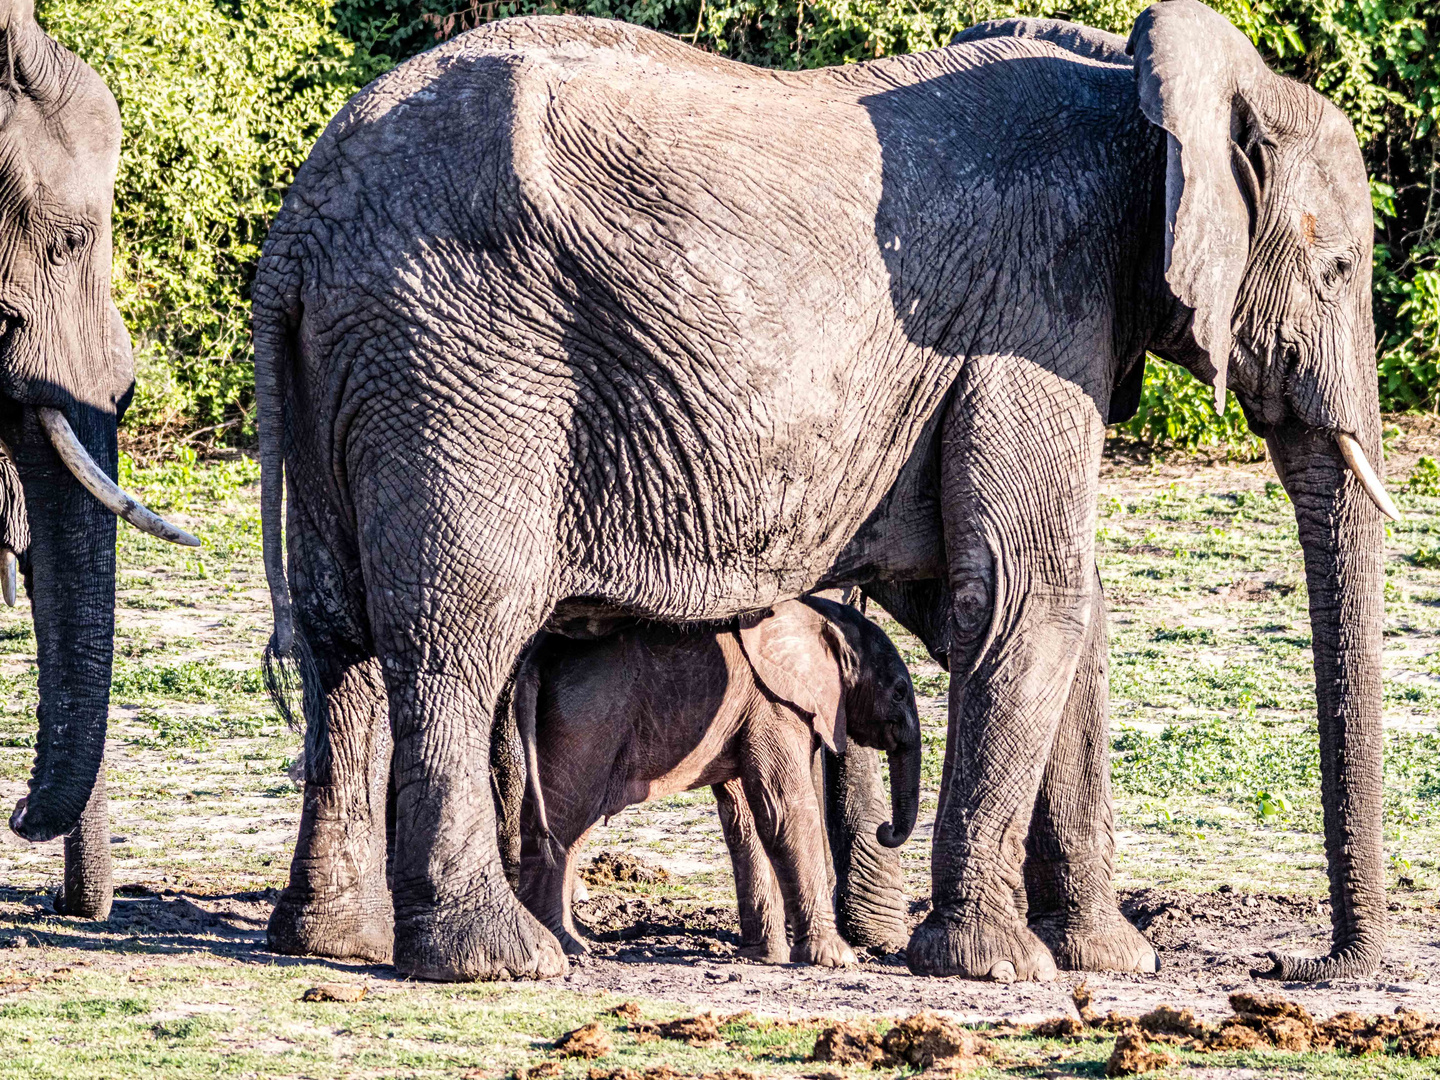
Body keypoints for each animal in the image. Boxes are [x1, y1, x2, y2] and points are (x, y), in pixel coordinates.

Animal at [515, 596, 921, 967]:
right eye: (900, 690)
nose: (887, 830)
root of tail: (537, 655)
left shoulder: (751, 711)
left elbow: (748, 818)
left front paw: (764, 958)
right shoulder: (774, 704)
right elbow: (784, 809)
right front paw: (836, 960)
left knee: (564, 823)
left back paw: (570, 944)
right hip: (586, 717)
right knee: (565, 816)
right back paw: (563, 945)